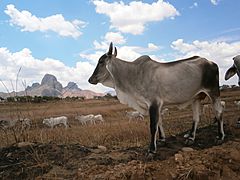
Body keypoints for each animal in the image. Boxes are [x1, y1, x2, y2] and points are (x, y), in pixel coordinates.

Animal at [88, 42, 225, 153]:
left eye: (101, 61)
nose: (90, 79)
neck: (133, 74)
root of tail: (211, 62)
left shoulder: (153, 103)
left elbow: (153, 126)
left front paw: (152, 149)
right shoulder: (156, 105)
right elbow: (159, 122)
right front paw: (162, 140)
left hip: (213, 92)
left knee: (218, 111)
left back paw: (220, 136)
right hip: (196, 98)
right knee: (196, 117)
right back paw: (191, 138)